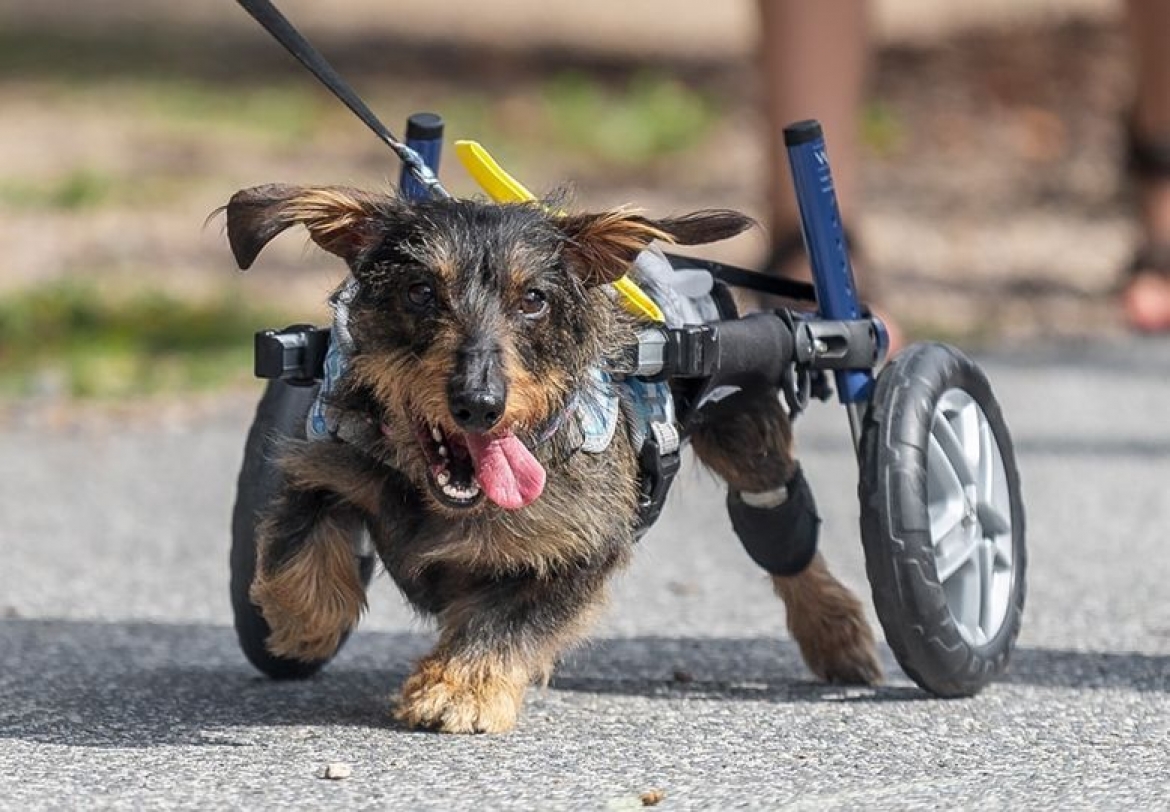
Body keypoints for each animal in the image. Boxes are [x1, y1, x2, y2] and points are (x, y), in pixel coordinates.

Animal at [223, 186, 879, 739]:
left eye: (533, 299)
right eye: (420, 291)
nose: (479, 403)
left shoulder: (581, 546)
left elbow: (505, 619)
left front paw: (459, 687)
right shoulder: (327, 460)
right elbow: (297, 542)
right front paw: (305, 624)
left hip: (745, 424)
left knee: (779, 522)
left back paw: (837, 632)